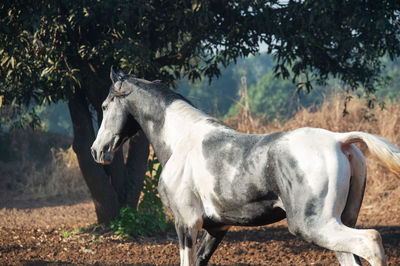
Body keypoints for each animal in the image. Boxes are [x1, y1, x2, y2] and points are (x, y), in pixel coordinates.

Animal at [91, 67, 400, 264]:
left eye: (105, 106)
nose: (97, 151)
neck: (180, 140)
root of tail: (339, 140)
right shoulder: (216, 228)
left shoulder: (186, 222)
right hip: (337, 223)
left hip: (314, 225)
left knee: (371, 241)